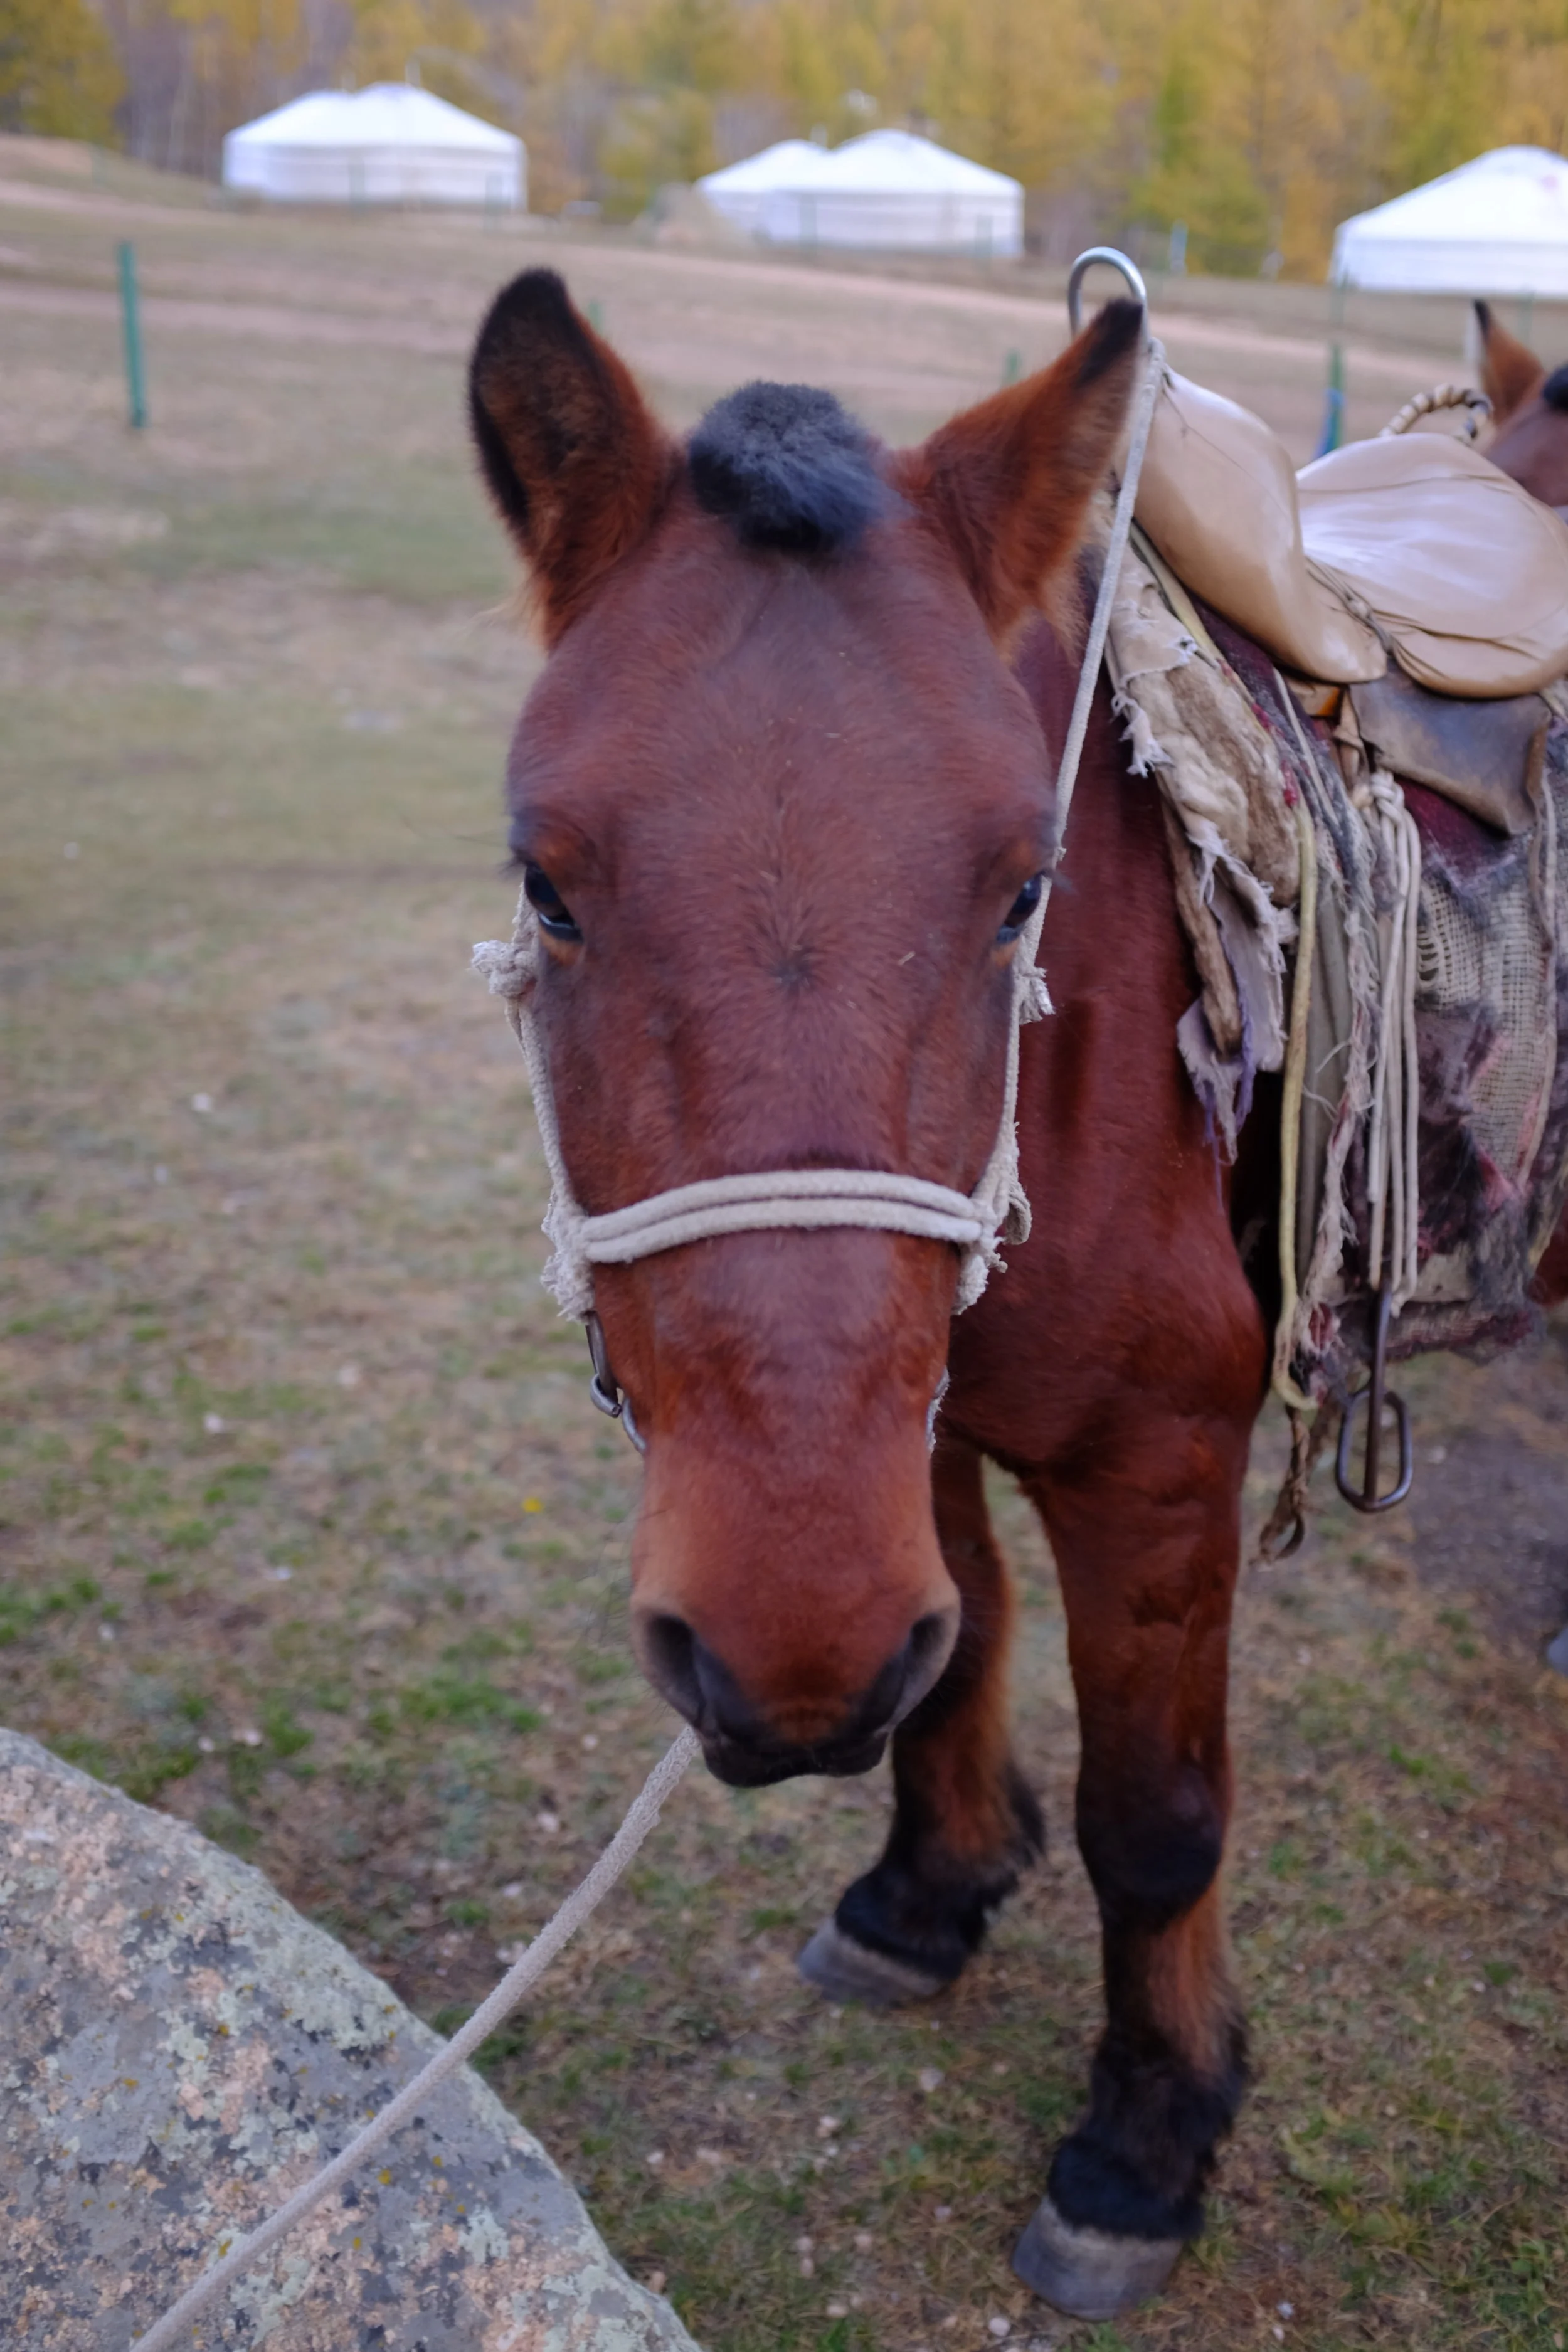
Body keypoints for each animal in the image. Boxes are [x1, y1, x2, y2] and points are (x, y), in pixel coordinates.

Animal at [466, 268, 1568, 2320]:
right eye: (546, 883)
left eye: (1019, 891)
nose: (773, 1663)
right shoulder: (907, 1435)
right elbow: (955, 1648)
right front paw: (926, 1895)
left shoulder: (1155, 1468)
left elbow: (1156, 1821)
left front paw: (1146, 2134)